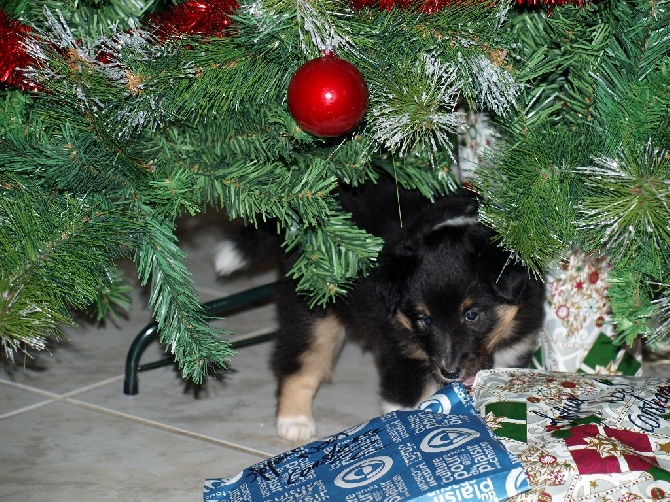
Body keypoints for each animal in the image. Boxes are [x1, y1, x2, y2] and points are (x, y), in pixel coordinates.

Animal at [215, 179, 544, 440]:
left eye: (472, 315)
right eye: (423, 319)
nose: (448, 372)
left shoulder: (514, 350)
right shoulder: (404, 360)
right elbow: (408, 407)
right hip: (312, 308)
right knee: (300, 363)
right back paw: (294, 423)